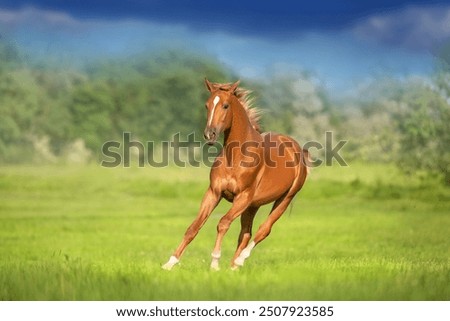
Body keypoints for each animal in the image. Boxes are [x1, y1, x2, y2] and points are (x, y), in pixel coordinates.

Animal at [162, 79, 310, 268]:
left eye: (225, 105)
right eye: (207, 105)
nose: (210, 134)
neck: (236, 157)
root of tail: (297, 148)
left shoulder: (242, 197)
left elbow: (223, 223)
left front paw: (215, 263)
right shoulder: (214, 193)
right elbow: (194, 227)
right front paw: (170, 263)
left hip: (285, 198)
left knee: (263, 230)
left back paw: (239, 260)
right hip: (253, 206)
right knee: (246, 233)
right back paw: (233, 267)